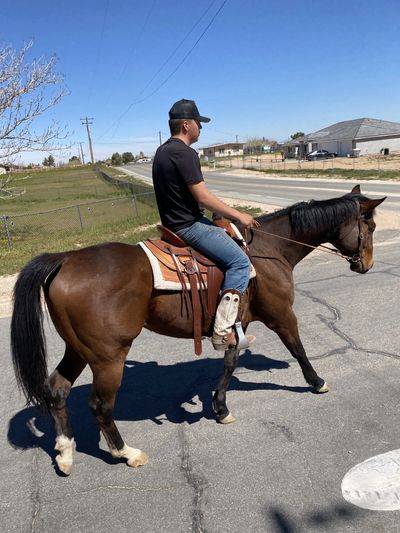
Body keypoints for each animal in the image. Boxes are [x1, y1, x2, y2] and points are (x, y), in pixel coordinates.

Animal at [10, 184, 384, 474]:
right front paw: (317, 382)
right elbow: (298, 348)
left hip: (78, 350)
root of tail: (64, 259)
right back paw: (126, 452)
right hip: (107, 356)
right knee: (100, 406)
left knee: (58, 390)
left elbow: (230, 364)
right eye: (371, 227)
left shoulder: (237, 324)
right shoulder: (281, 315)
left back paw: (65, 453)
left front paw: (220, 407)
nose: (366, 264)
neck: (270, 249)